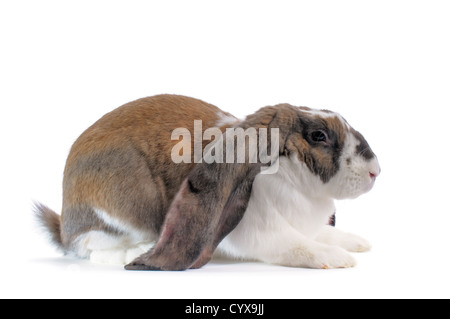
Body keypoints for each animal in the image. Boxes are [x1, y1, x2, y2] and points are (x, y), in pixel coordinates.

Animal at [36, 94, 380, 270]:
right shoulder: (263, 231)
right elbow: (296, 246)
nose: (375, 171)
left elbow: (320, 234)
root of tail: (65, 223)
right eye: (318, 136)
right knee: (90, 246)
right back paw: (135, 252)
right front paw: (337, 259)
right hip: (130, 207)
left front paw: (357, 243)